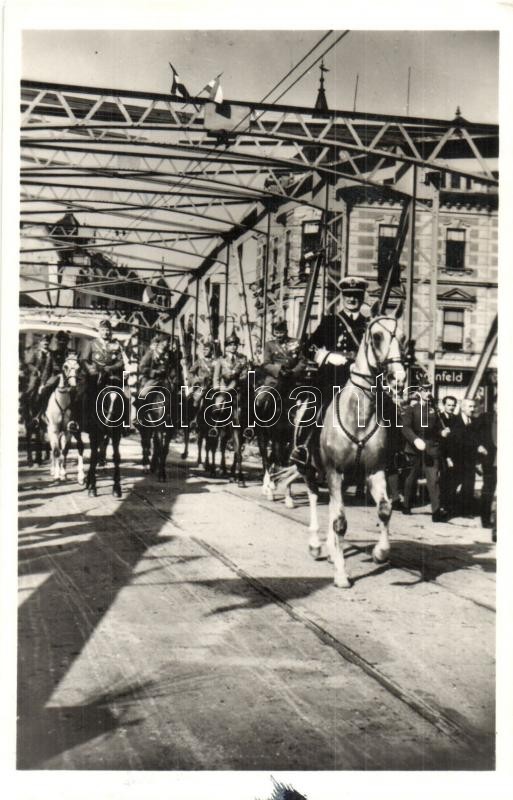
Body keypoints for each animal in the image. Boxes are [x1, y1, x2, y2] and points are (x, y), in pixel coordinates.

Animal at [45, 354, 86, 484]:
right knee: (53, 449)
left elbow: (65, 451)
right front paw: (57, 475)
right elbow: (56, 451)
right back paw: (53, 470)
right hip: (49, 430)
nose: (73, 386)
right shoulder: (53, 429)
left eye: (78, 368)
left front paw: (64, 474)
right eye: (65, 366)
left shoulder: (68, 430)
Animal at [301, 306, 406, 588]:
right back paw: (315, 545)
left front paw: (380, 553)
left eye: (404, 338)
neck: (359, 412)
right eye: (377, 336)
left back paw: (329, 548)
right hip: (310, 469)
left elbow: (385, 510)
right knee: (314, 497)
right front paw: (340, 573)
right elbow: (340, 522)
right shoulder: (334, 471)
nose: (398, 379)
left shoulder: (374, 470)